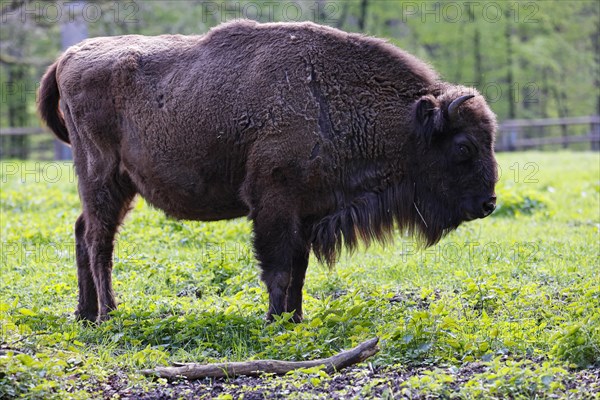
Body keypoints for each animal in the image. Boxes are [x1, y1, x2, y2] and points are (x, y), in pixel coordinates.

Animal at [37, 19, 496, 324]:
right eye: (464, 146)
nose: (489, 204)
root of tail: (66, 58)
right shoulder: (274, 202)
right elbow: (277, 267)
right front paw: (275, 320)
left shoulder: (307, 212)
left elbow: (299, 271)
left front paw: (295, 318)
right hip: (103, 177)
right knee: (98, 241)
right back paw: (108, 314)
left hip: (116, 186)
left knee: (82, 231)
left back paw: (83, 313)